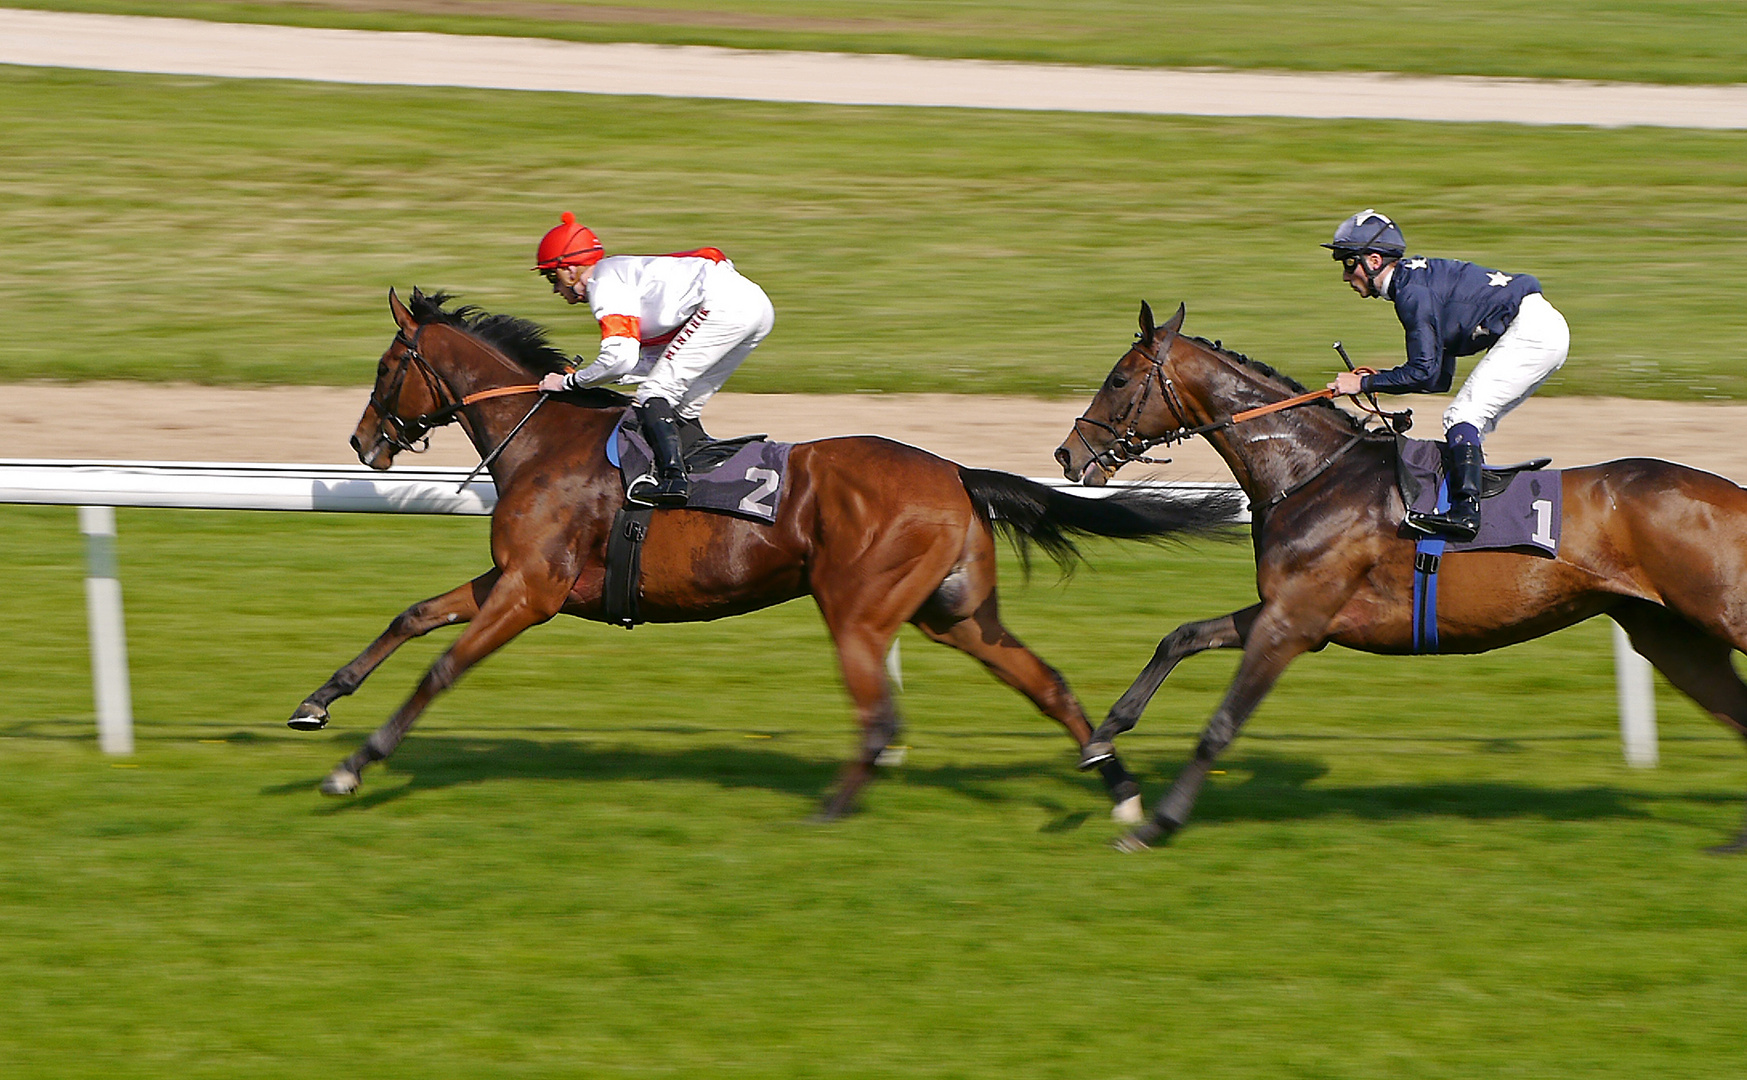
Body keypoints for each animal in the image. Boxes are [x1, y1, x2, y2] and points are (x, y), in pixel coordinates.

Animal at [290, 286, 1243, 814]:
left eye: (385, 367)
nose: (361, 441)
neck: (544, 441)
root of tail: (953, 472)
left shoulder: (532, 590)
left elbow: (441, 666)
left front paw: (354, 768)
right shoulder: (518, 576)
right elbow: (414, 615)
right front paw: (316, 703)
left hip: (859, 606)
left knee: (883, 710)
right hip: (955, 613)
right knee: (1043, 681)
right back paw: (1118, 792)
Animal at [1055, 300, 1747, 849]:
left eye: (1119, 378)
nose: (1067, 454)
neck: (1312, 472)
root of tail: (1733, 492)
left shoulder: (1293, 624)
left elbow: (1220, 725)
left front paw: (1157, 824)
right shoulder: (1291, 610)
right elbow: (1180, 637)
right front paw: (1102, 738)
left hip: (1717, 614)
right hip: (1669, 634)